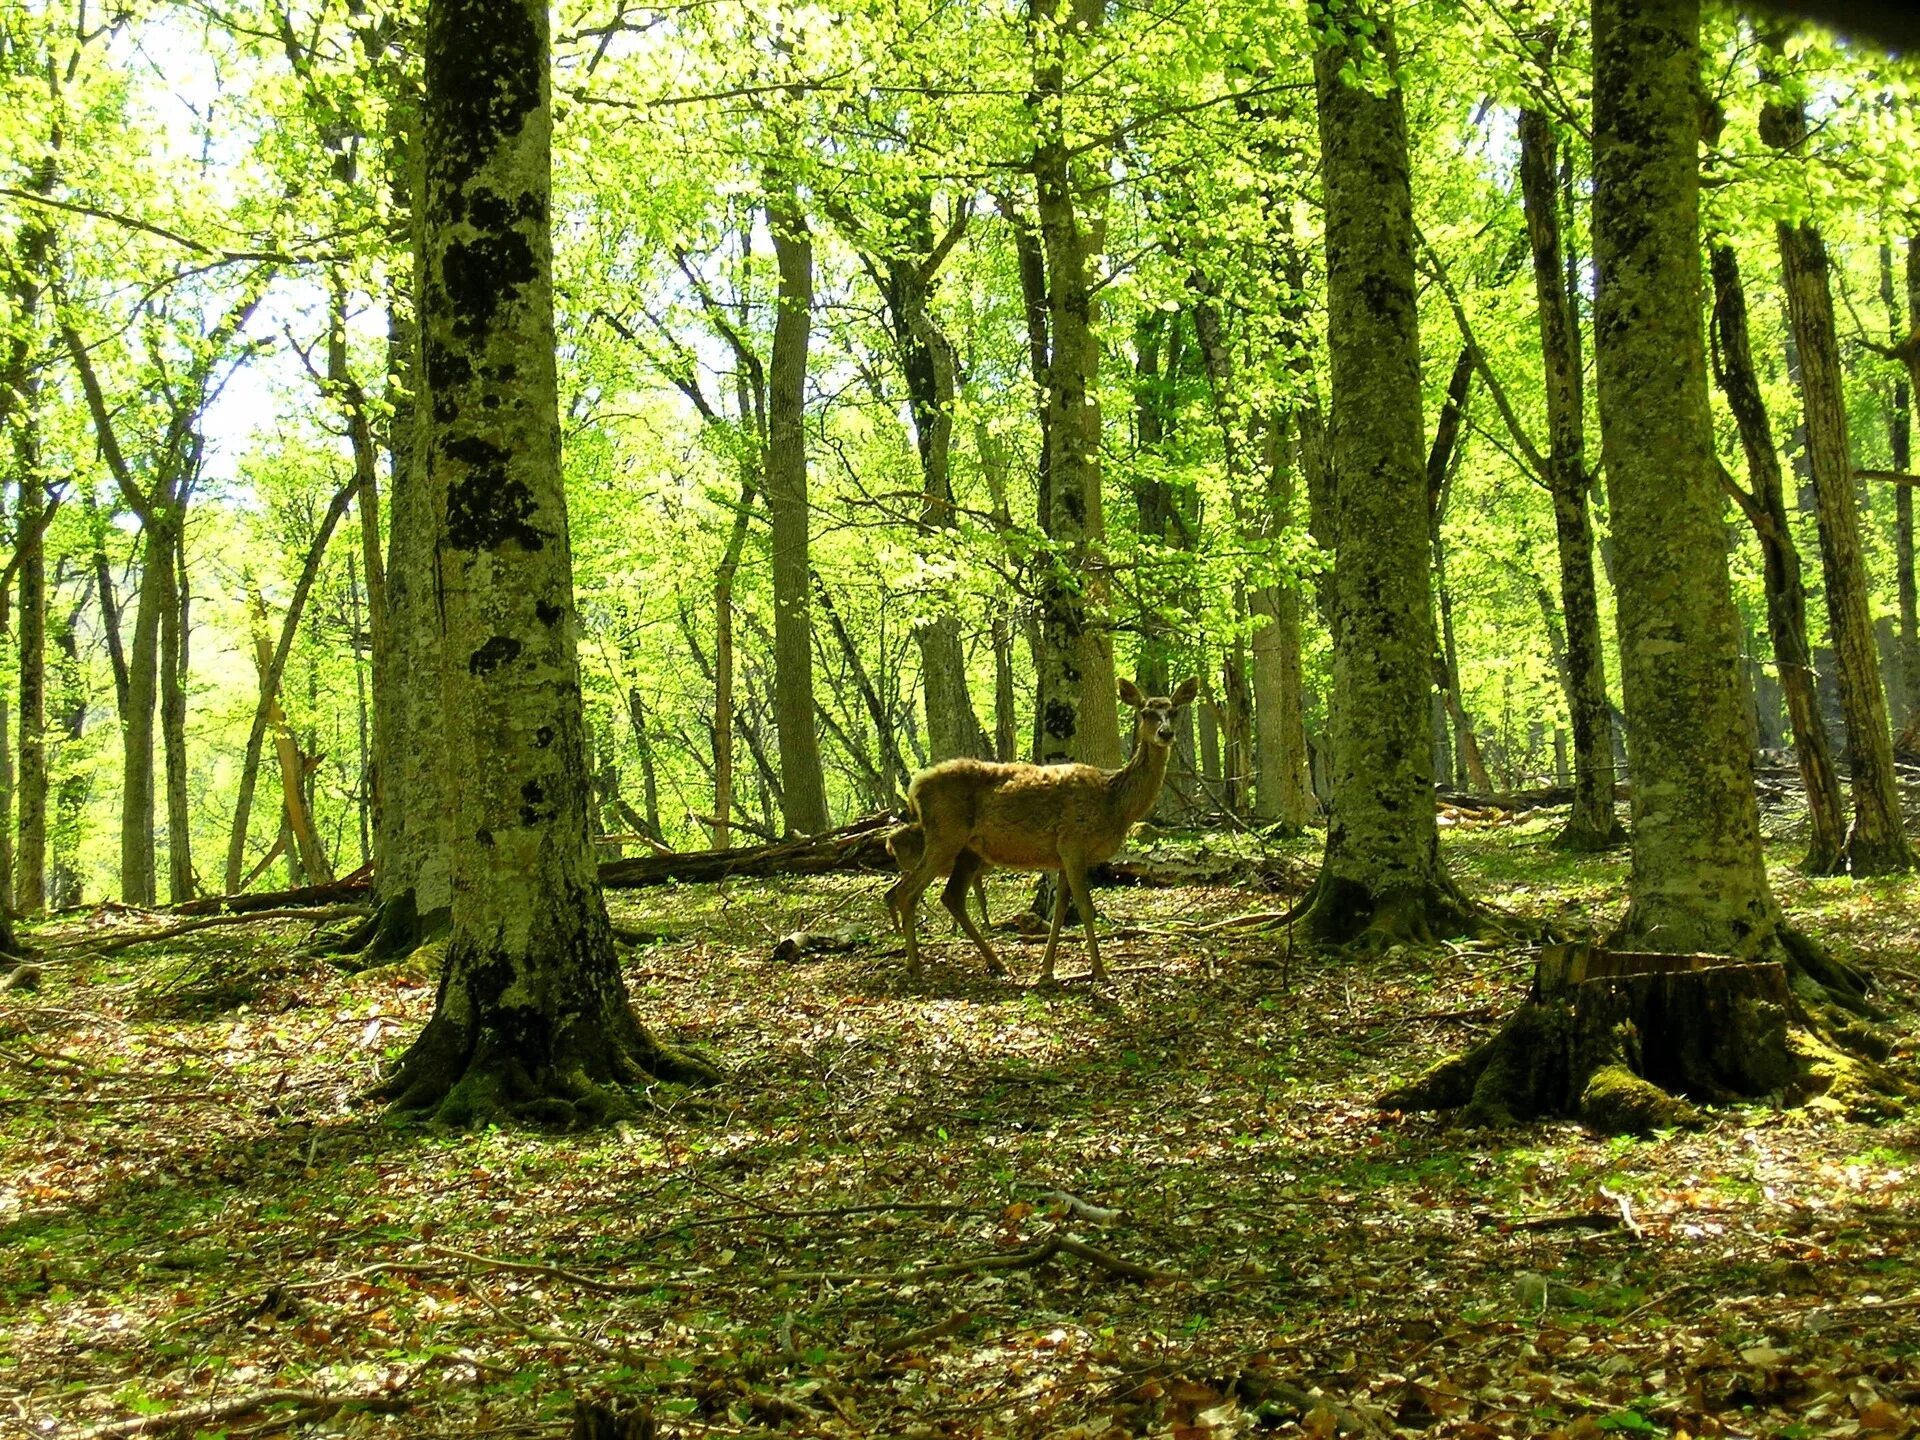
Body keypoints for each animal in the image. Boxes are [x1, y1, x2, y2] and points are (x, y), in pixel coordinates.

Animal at [887, 683, 1190, 990]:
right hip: (945, 835)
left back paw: (997, 963)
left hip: (968, 851)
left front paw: (1047, 970)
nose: (1165, 733)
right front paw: (1099, 971)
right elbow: (1084, 907)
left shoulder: (1064, 854)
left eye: (1174, 710)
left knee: (951, 897)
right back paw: (915, 966)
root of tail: (914, 787)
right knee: (907, 891)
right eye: (1145, 712)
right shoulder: (1073, 841)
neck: (1115, 801)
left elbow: (1060, 911)